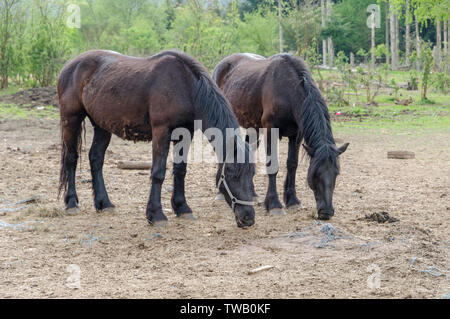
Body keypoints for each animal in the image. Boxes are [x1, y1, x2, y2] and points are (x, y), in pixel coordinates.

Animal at [58, 50, 255, 229]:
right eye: (231, 175)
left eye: (251, 174)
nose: (248, 218)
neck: (186, 87)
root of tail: (70, 66)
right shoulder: (162, 131)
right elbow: (158, 173)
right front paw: (156, 215)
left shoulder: (185, 134)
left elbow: (180, 170)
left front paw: (182, 208)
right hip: (71, 119)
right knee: (71, 159)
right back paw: (71, 203)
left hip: (102, 126)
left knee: (96, 159)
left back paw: (104, 203)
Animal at [213, 53, 350, 221]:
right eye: (315, 174)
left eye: (336, 173)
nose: (326, 212)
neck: (288, 89)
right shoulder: (271, 131)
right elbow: (273, 166)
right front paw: (274, 204)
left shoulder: (296, 135)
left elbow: (292, 164)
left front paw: (292, 201)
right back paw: (221, 192)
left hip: (253, 127)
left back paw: (252, 194)